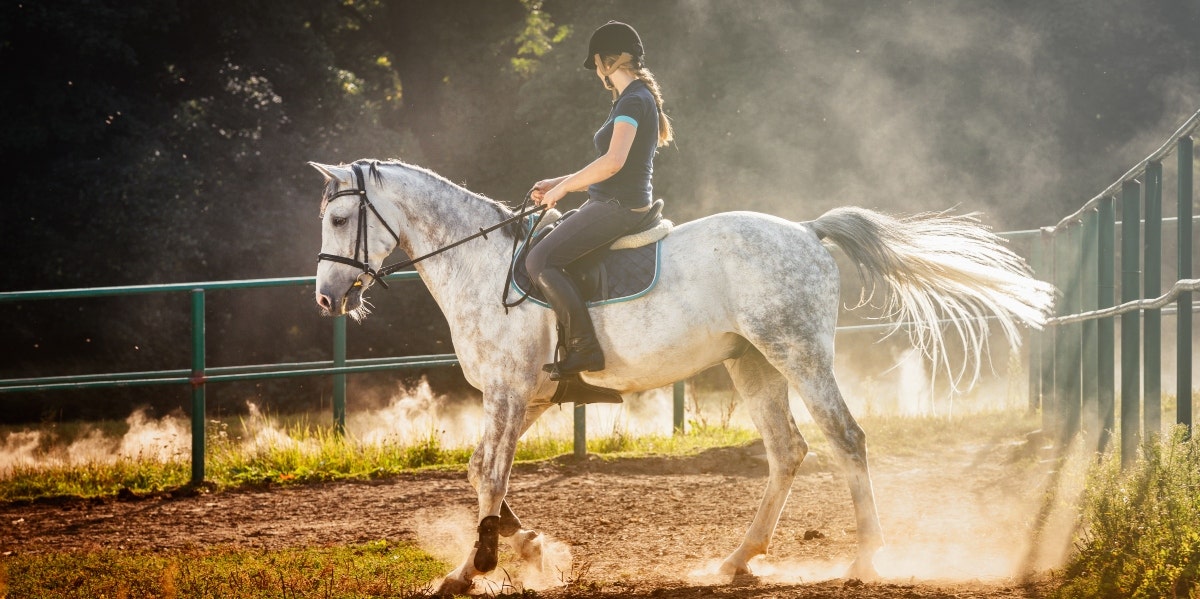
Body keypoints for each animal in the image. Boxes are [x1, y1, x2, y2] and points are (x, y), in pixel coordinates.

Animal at [307, 160, 1051, 595]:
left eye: (341, 217)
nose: (325, 297)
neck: (483, 268)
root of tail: (807, 231)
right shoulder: (525, 397)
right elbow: (478, 470)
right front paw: (529, 546)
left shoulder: (510, 392)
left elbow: (488, 474)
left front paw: (473, 568)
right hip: (752, 361)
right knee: (788, 451)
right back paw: (737, 560)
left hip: (797, 352)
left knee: (845, 438)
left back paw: (867, 559)